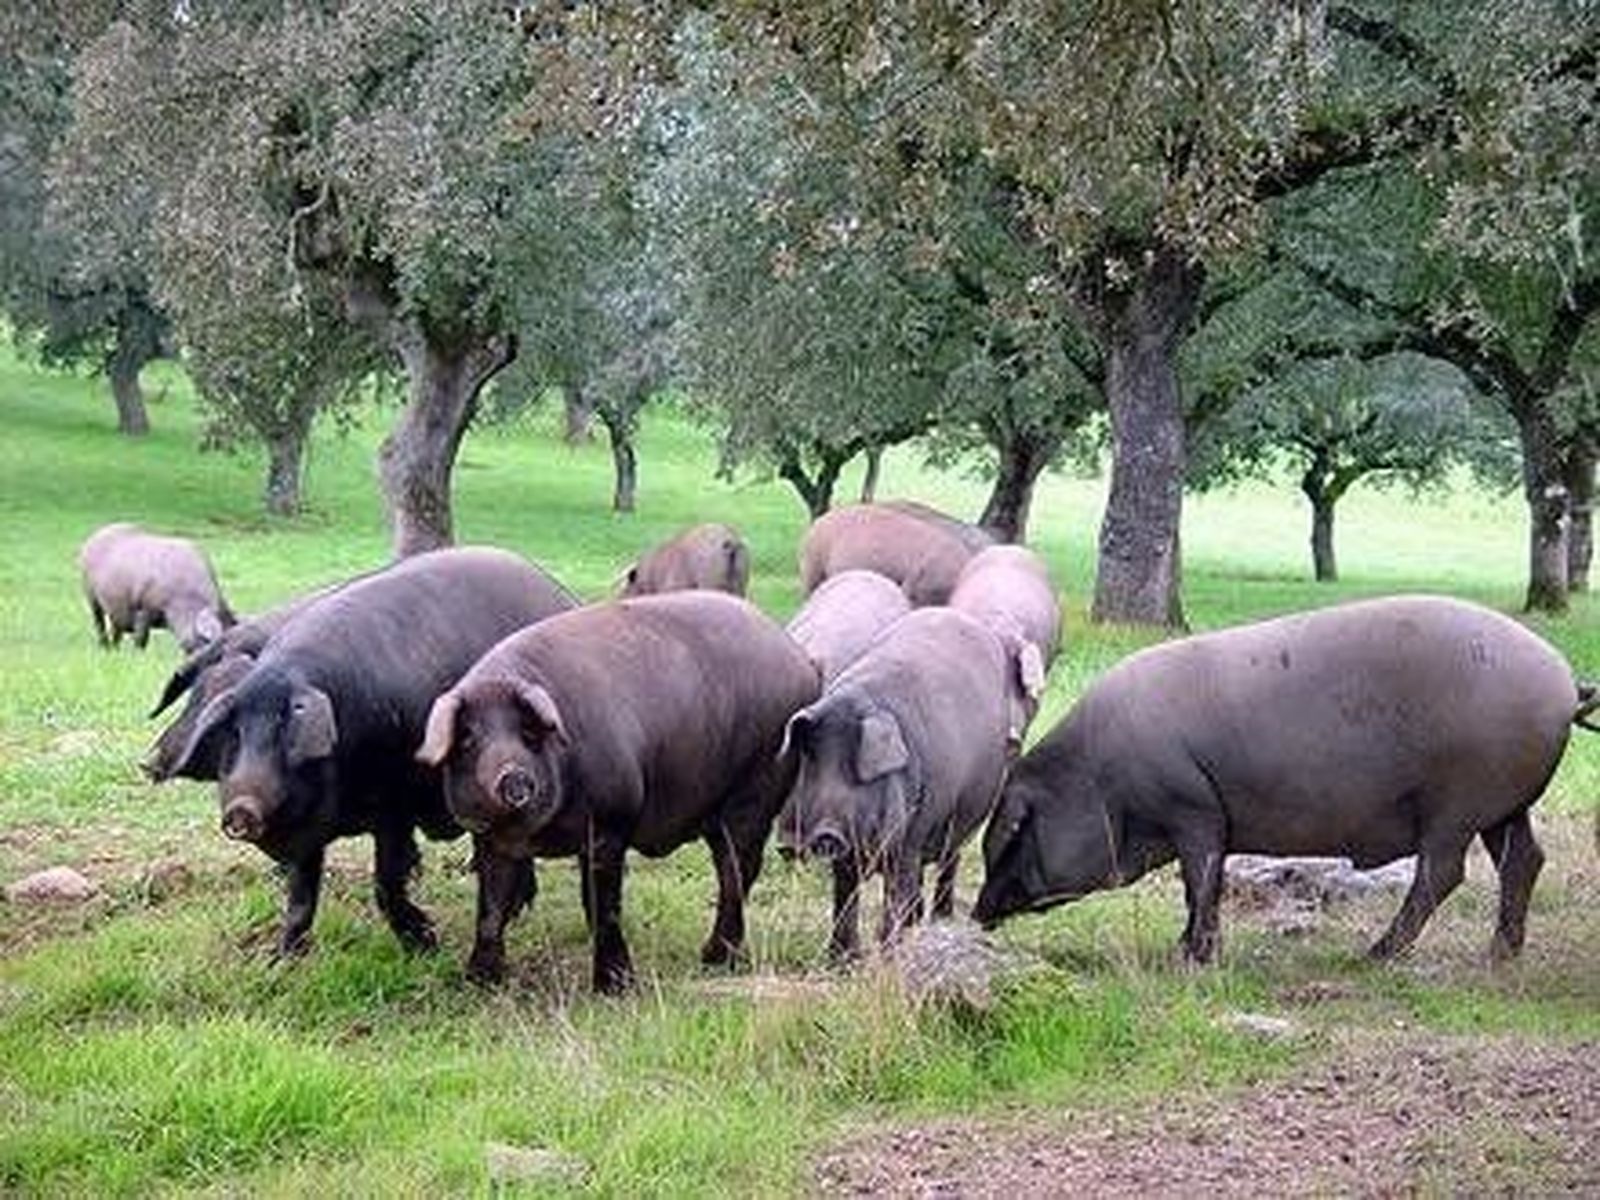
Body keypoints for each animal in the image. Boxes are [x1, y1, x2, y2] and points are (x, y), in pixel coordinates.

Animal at [78, 523, 235, 651]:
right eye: (206, 640)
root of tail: (94, 537)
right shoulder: (143, 611)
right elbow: (141, 640)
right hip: (93, 600)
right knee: (100, 626)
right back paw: (104, 649)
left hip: (114, 609)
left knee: (115, 631)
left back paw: (114, 651)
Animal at [160, 547, 578, 956]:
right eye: (235, 735)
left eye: (285, 732)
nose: (240, 810)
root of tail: (563, 595)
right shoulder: (312, 829)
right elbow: (300, 897)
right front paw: (282, 959)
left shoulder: (396, 806)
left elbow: (386, 882)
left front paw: (426, 945)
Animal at [416, 591, 821, 991]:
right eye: (468, 739)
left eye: (528, 733)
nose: (512, 777)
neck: (533, 835)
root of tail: (802, 659)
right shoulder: (490, 839)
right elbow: (491, 907)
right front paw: (478, 982)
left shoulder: (609, 825)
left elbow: (601, 905)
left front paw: (614, 987)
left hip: (758, 788)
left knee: (737, 872)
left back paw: (714, 960)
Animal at [776, 608, 1019, 960]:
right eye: (809, 763)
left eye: (856, 773)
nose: (823, 834)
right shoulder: (850, 856)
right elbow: (845, 896)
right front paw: (841, 959)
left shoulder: (910, 838)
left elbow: (893, 896)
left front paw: (887, 956)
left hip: (962, 817)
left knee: (949, 863)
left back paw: (939, 920)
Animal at [973, 595, 1597, 964]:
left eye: (1014, 833)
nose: (977, 913)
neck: (1101, 780)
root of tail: (1564, 679)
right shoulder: (1204, 818)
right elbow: (1203, 883)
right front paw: (1187, 949)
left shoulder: (1193, 809)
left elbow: (1201, 880)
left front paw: (1191, 957)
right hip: (1503, 806)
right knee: (1524, 860)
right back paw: (1499, 955)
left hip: (1457, 804)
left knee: (1443, 873)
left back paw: (1375, 955)